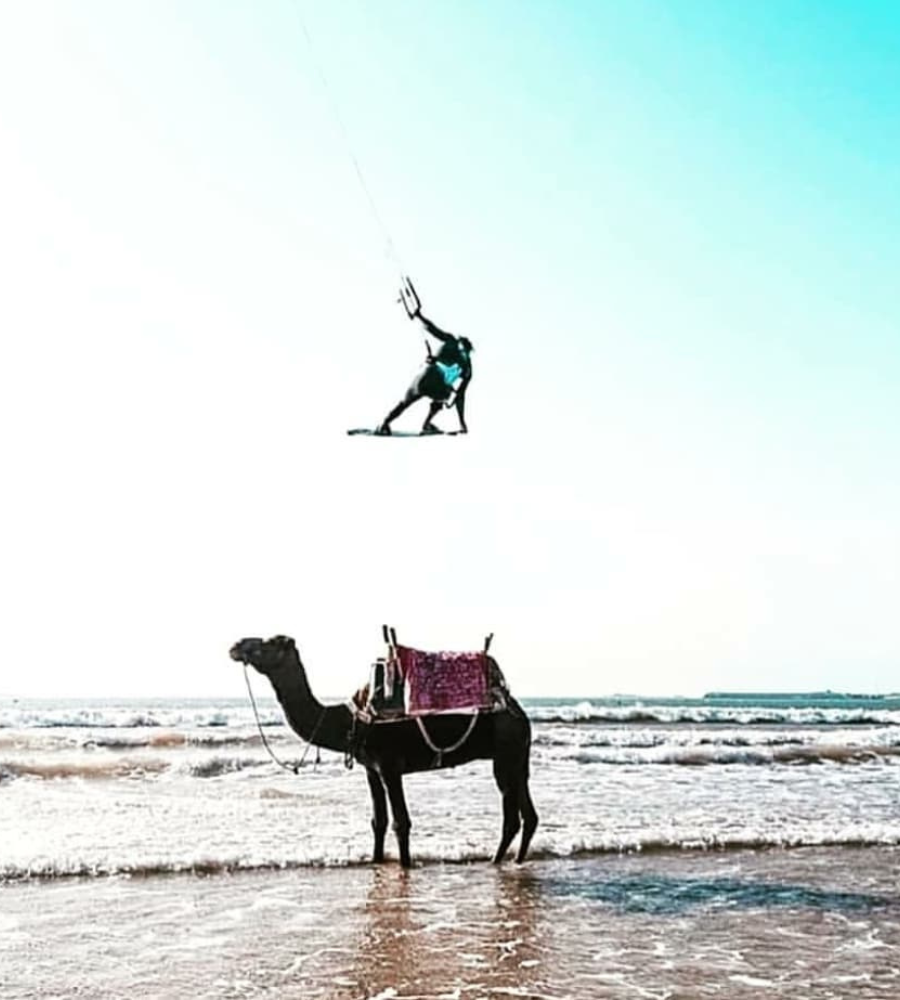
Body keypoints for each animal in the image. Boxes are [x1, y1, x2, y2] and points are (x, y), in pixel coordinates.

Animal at [229, 636, 536, 864]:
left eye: (269, 643)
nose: (237, 645)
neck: (352, 719)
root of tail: (517, 711)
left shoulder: (390, 766)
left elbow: (401, 822)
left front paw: (404, 868)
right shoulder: (372, 769)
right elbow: (379, 820)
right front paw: (376, 861)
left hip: (505, 755)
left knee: (511, 815)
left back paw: (496, 862)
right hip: (517, 758)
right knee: (528, 814)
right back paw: (514, 860)